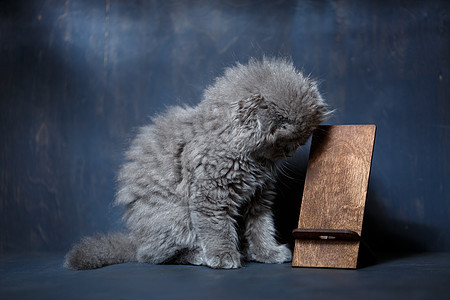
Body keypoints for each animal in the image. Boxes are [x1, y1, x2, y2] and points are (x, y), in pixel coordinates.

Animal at [63, 56, 328, 270]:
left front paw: (267, 252)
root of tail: (136, 239)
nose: (291, 152)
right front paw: (223, 256)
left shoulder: (259, 196)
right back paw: (200, 255)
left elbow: (261, 227)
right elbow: (217, 228)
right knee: (154, 256)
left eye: (301, 141)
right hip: (176, 217)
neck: (250, 159)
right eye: (286, 141)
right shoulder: (210, 194)